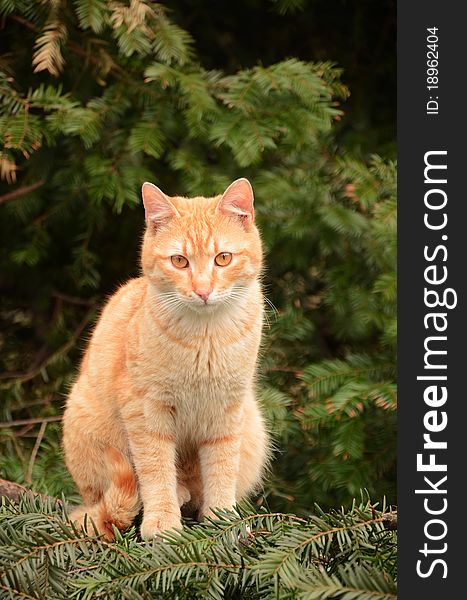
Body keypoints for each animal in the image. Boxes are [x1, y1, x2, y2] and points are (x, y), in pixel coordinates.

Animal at [64, 177, 272, 540]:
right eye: (179, 261)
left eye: (223, 258)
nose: (203, 290)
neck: (205, 338)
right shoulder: (146, 410)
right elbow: (156, 469)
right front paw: (162, 523)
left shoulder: (227, 410)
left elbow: (222, 468)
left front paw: (223, 520)